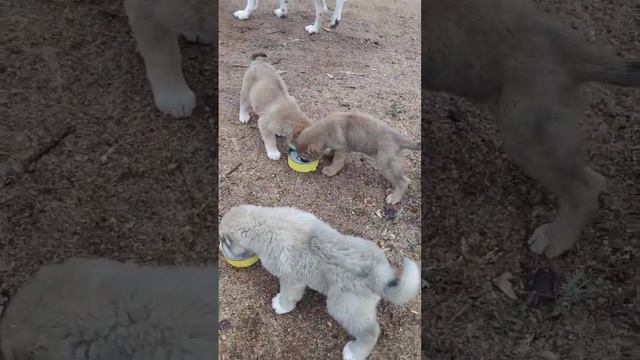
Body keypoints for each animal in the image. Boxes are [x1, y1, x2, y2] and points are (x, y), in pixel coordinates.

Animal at [219, 205, 420, 360]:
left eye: (224, 241)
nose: (221, 246)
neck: (263, 223)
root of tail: (379, 275)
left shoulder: (291, 280)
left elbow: (287, 296)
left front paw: (281, 305)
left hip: (343, 306)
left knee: (370, 331)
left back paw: (354, 353)